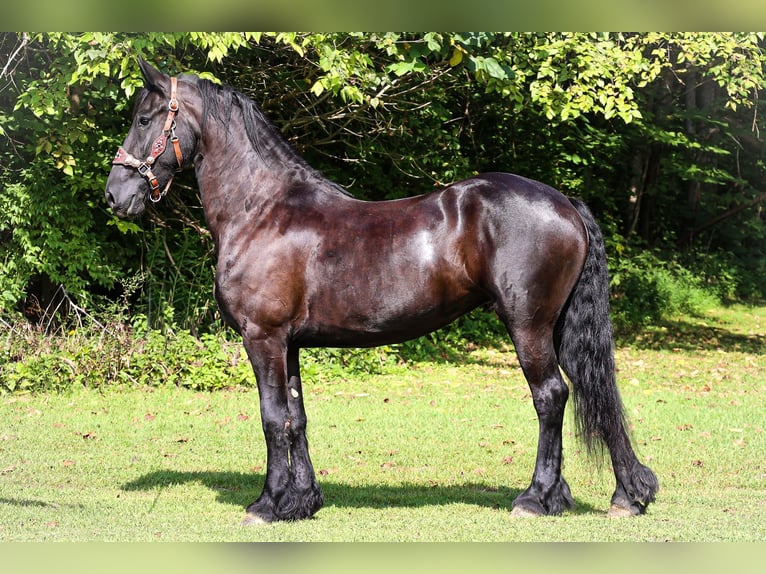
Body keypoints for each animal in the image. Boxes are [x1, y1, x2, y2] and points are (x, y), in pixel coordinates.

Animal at [106, 59, 660, 528]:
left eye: (145, 118)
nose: (115, 196)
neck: (263, 209)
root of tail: (563, 202)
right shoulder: (290, 344)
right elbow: (295, 418)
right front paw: (302, 502)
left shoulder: (263, 338)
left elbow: (270, 418)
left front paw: (267, 504)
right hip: (559, 326)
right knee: (591, 390)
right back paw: (622, 495)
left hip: (528, 326)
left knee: (551, 397)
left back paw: (536, 498)